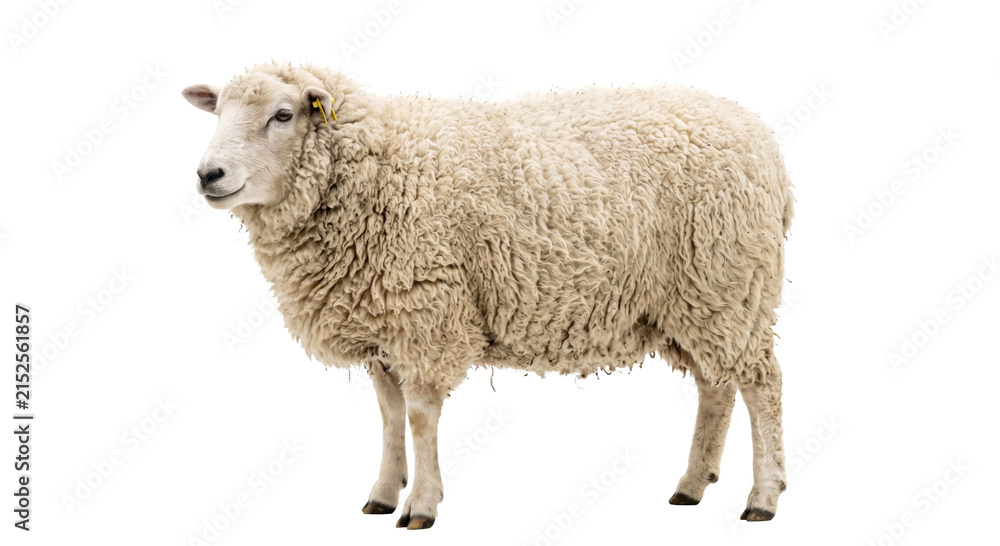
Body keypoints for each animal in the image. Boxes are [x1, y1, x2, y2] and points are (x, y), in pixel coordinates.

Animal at [182, 62, 794, 529]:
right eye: (218, 113)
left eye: (283, 115)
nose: (208, 175)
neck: (372, 169)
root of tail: (762, 139)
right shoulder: (382, 326)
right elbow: (389, 415)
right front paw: (383, 493)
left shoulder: (425, 313)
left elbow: (420, 417)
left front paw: (421, 506)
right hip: (692, 301)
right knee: (716, 387)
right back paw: (692, 485)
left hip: (727, 281)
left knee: (761, 385)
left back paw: (762, 497)